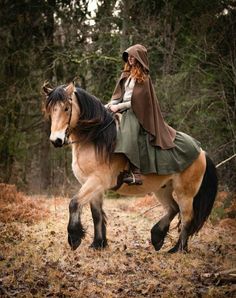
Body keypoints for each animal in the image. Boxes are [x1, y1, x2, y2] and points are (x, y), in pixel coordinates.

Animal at [42, 82, 218, 254]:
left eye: (66, 108)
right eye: (51, 110)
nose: (56, 140)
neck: (94, 138)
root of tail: (201, 151)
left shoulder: (96, 181)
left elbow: (74, 203)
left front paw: (74, 238)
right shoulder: (93, 186)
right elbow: (96, 214)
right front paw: (98, 244)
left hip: (185, 193)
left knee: (187, 217)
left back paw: (178, 249)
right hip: (162, 188)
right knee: (173, 208)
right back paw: (157, 237)